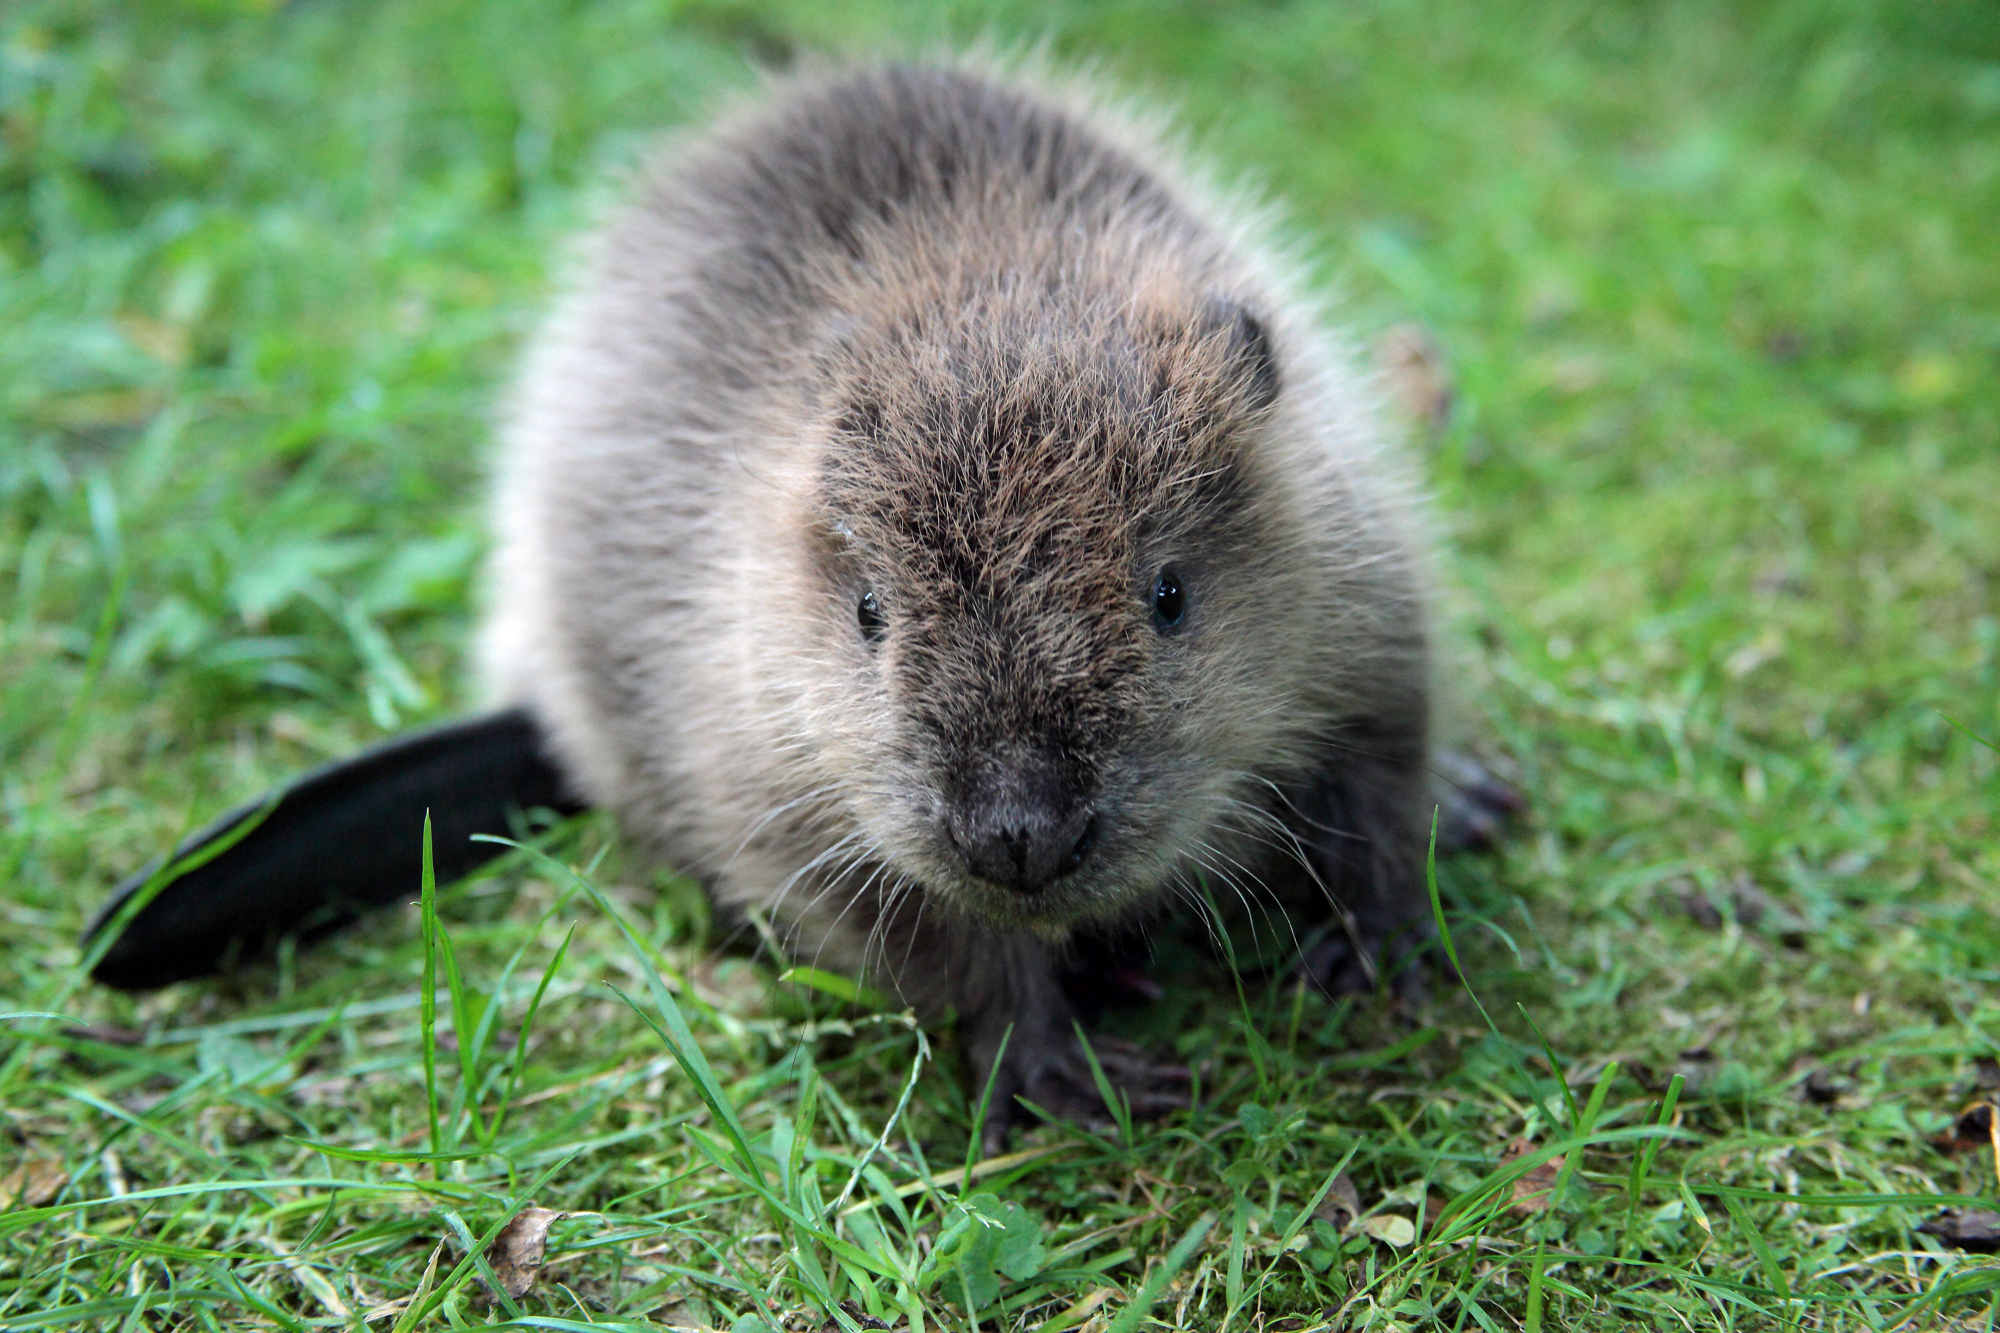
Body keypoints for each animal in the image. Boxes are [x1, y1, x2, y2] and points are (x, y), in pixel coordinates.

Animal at [86, 59, 1504, 1144]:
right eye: (869, 610)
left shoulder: (1359, 569)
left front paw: (1375, 941)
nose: (1017, 833)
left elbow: (1383, 752)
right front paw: (1062, 1066)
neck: (990, 284)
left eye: (1167, 592)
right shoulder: (752, 741)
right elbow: (912, 937)